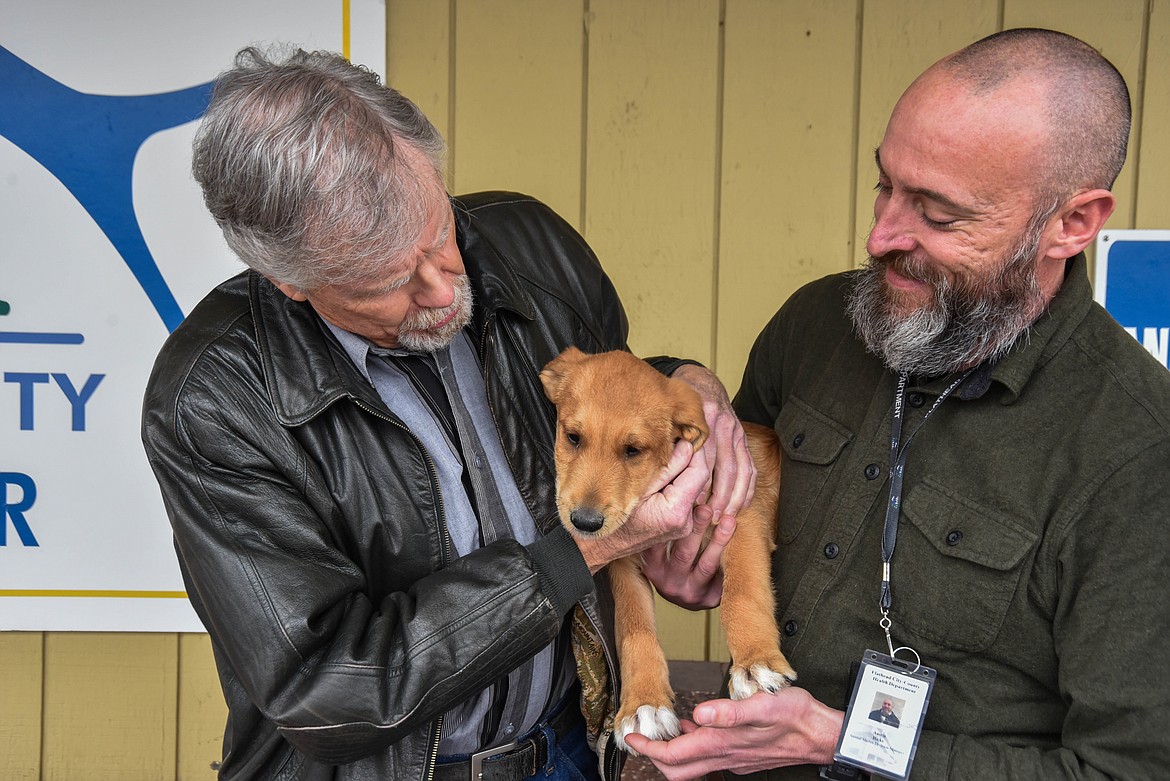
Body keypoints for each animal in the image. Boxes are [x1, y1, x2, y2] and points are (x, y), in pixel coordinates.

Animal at [538, 346, 795, 748]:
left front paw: (756, 661)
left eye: (633, 450)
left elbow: (742, 592)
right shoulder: (625, 560)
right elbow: (634, 628)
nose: (585, 523)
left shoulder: (741, 517)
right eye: (573, 437)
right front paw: (644, 703)